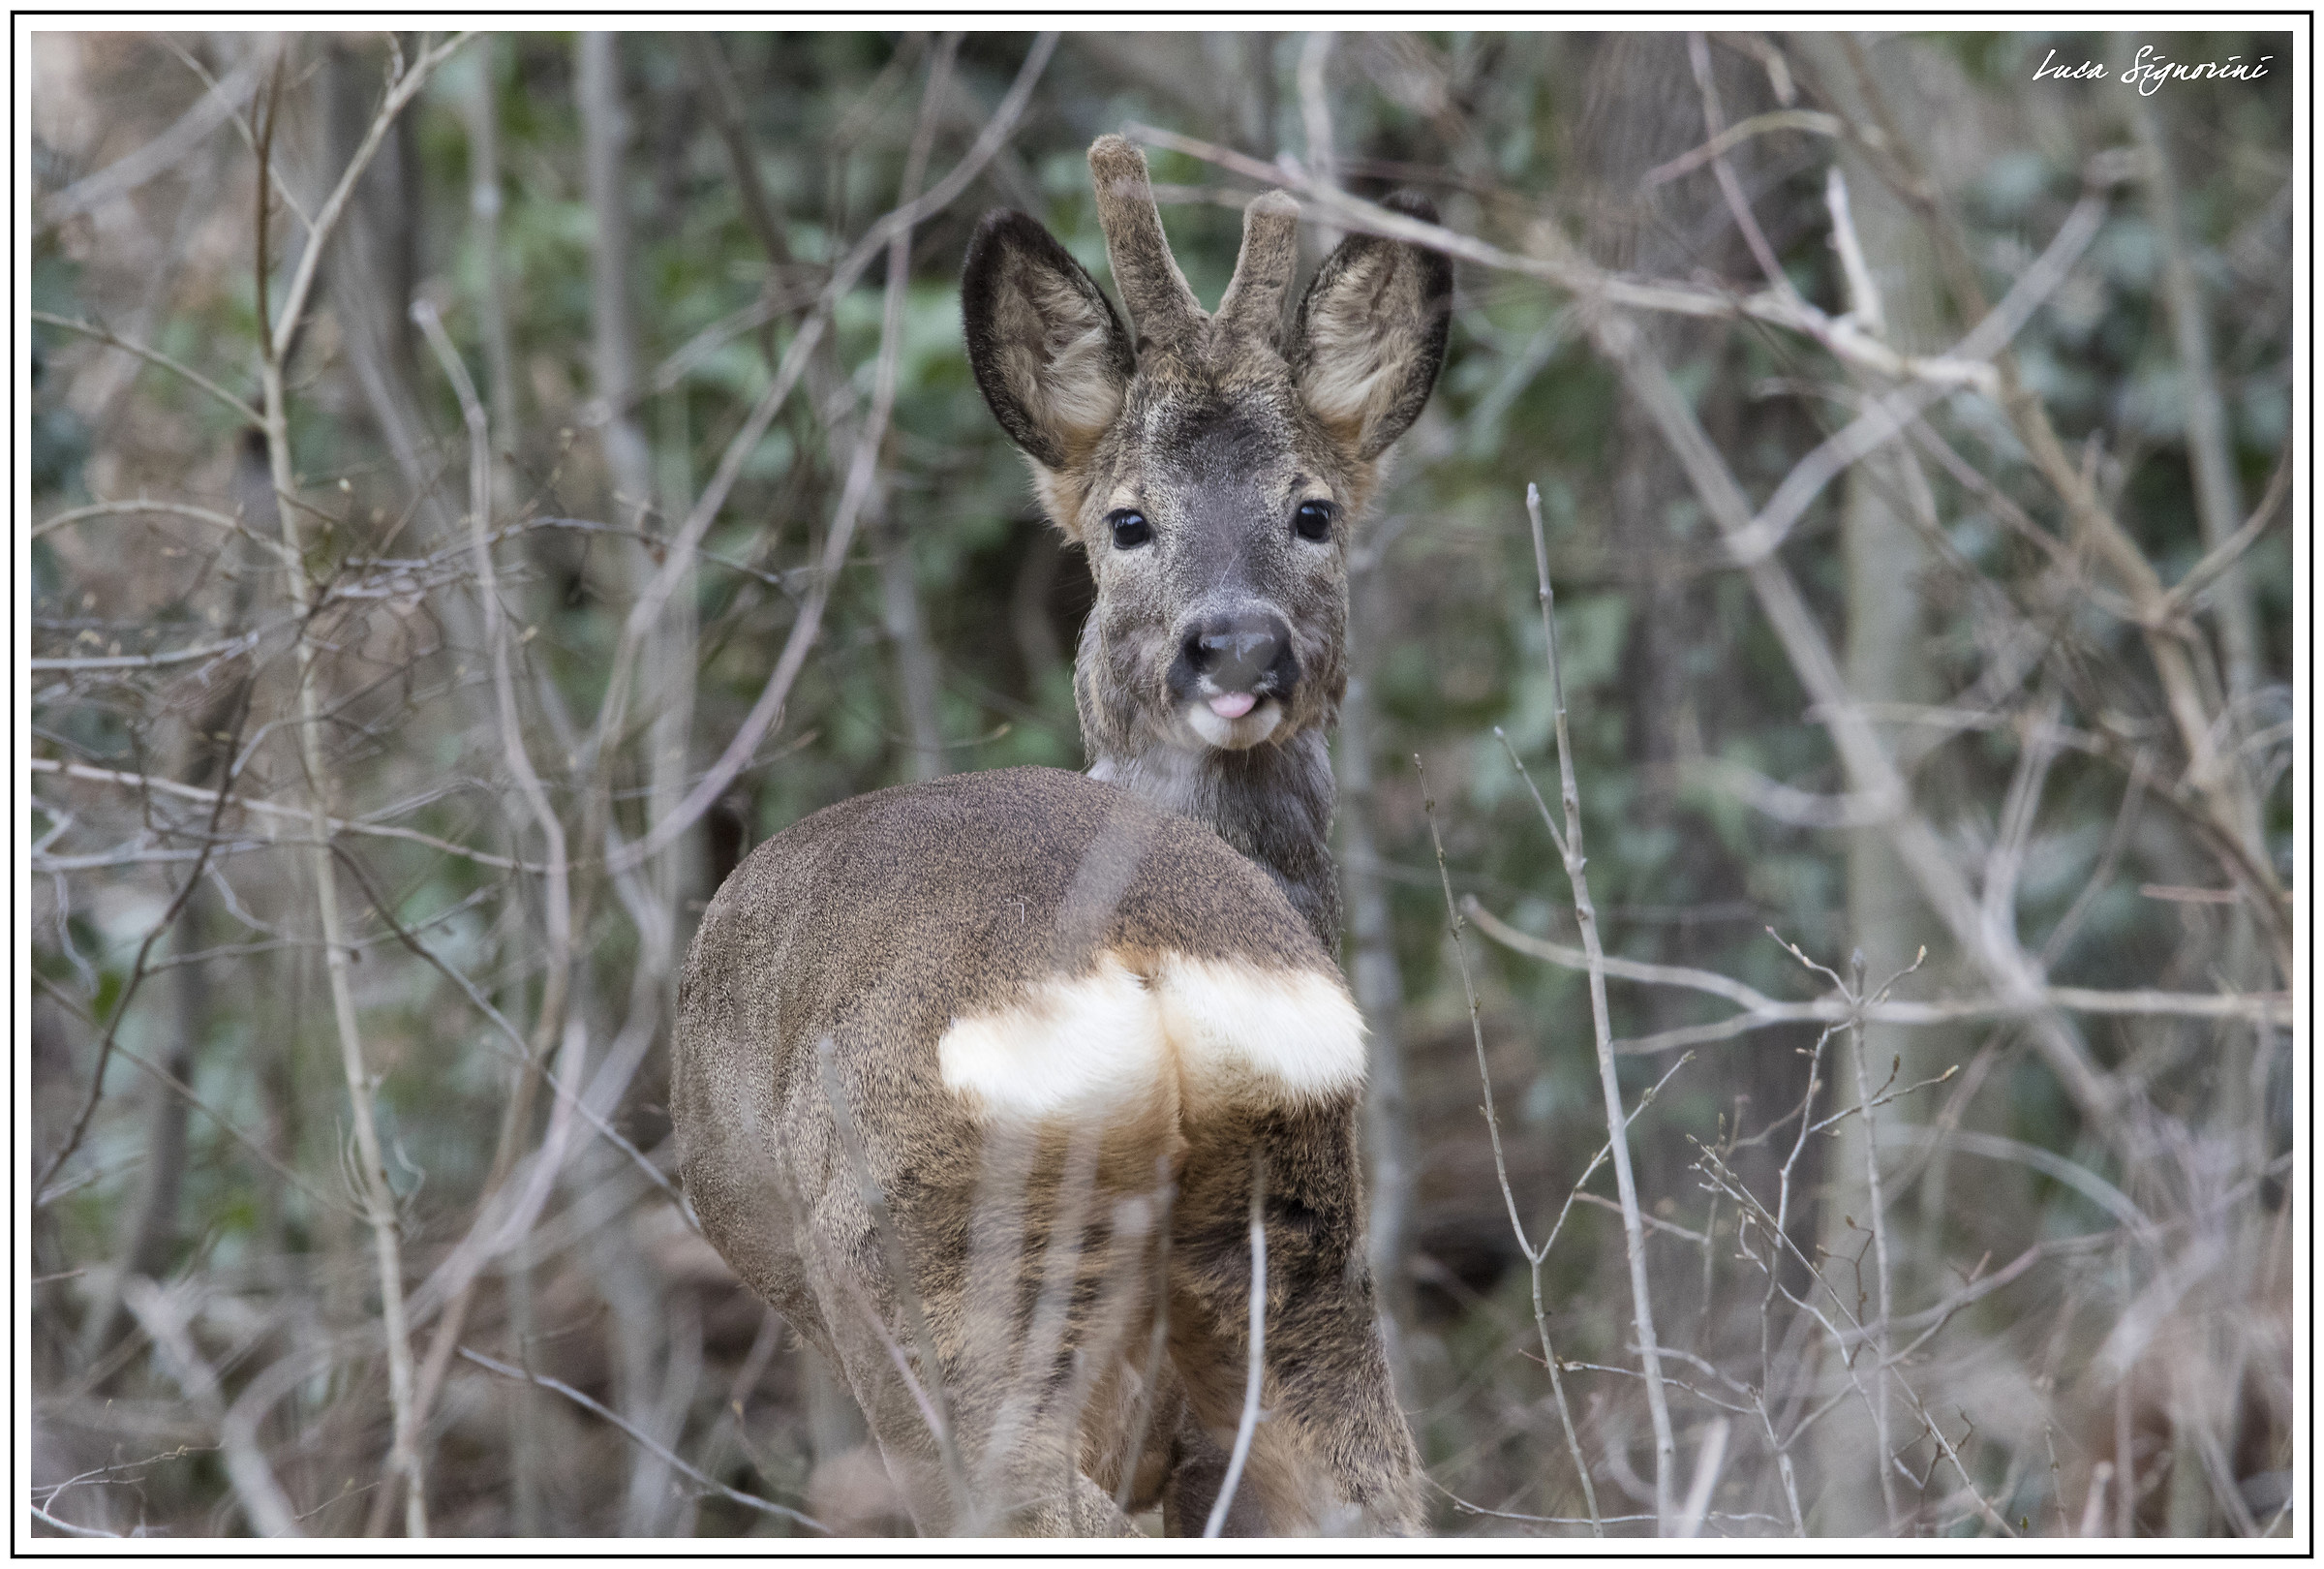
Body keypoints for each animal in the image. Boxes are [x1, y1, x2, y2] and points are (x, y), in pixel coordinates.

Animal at [671, 133, 1451, 1536]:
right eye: (1129, 521)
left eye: (1312, 512)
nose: (1236, 646)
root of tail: (1148, 969)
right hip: (1302, 1255)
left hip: (933, 1273)